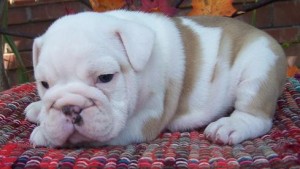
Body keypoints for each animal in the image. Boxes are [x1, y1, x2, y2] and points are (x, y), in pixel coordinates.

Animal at [24, 10, 288, 147]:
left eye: (105, 78)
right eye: (44, 84)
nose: (69, 108)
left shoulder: (143, 121)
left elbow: (100, 136)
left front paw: (44, 134)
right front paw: (39, 110)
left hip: (259, 67)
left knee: (256, 115)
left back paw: (231, 125)